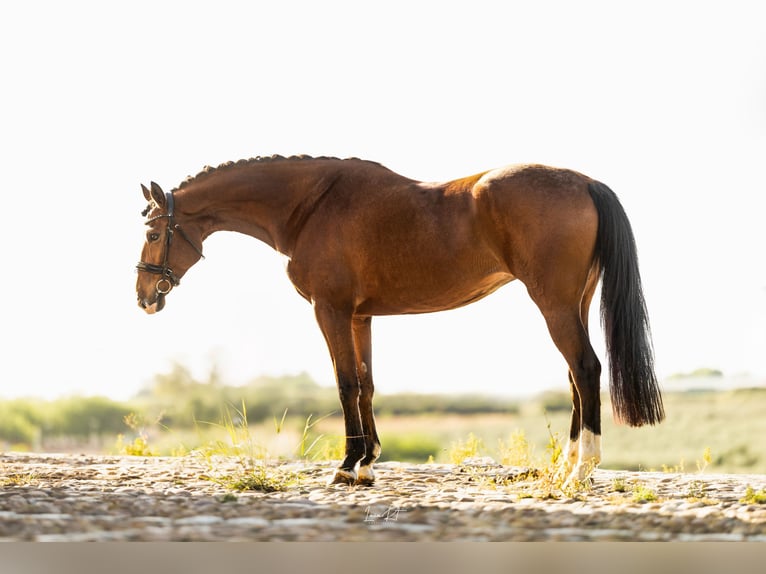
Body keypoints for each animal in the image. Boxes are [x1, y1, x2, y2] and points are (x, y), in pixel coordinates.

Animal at [135, 155, 664, 487]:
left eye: (154, 232)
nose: (144, 296)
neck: (310, 207)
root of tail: (585, 182)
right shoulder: (361, 316)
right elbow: (367, 384)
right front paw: (368, 464)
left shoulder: (330, 310)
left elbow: (345, 383)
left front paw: (346, 466)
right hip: (574, 302)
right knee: (576, 378)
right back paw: (564, 467)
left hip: (553, 303)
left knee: (586, 369)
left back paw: (580, 471)